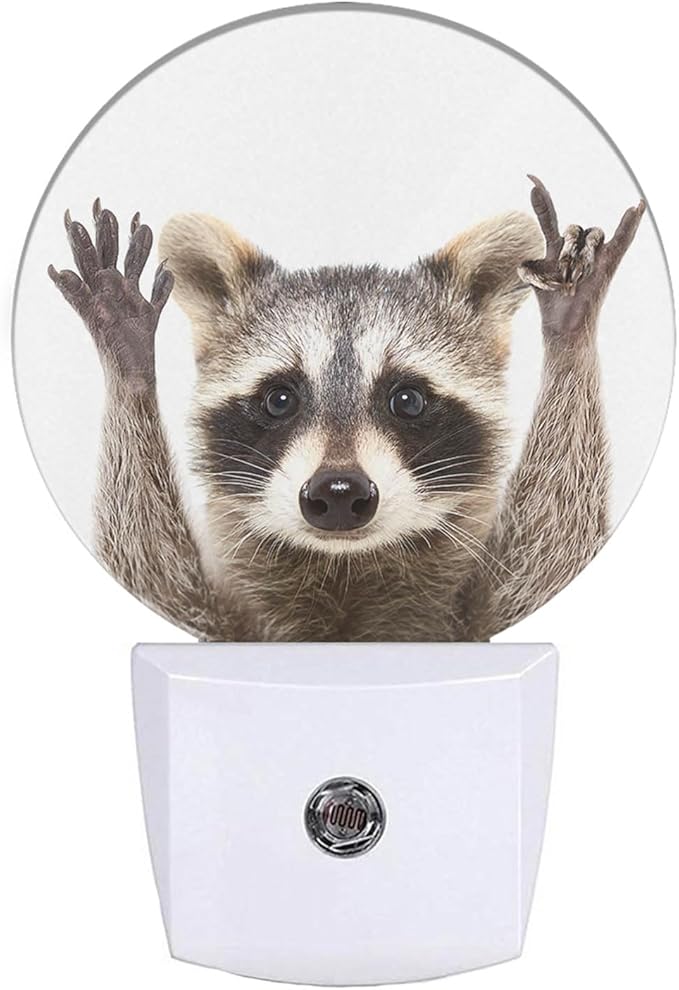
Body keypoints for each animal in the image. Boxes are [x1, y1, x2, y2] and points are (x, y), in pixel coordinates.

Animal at [48, 178, 645, 641]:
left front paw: (570, 329)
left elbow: (556, 546)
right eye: (279, 398)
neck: (345, 572)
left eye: (407, 399)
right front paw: (128, 359)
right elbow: (147, 571)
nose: (338, 492)